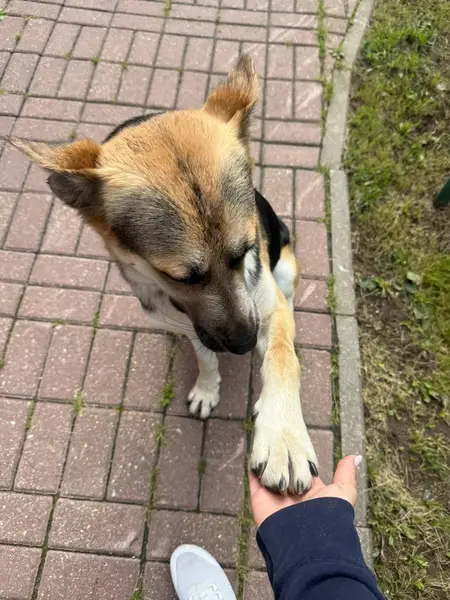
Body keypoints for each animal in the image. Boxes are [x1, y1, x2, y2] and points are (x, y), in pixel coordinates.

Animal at [12, 55, 318, 495]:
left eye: (245, 251)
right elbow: (205, 357)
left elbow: (282, 356)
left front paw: (283, 435)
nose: (245, 344)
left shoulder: (264, 305)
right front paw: (208, 387)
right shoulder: (195, 324)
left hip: (287, 266)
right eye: (183, 277)